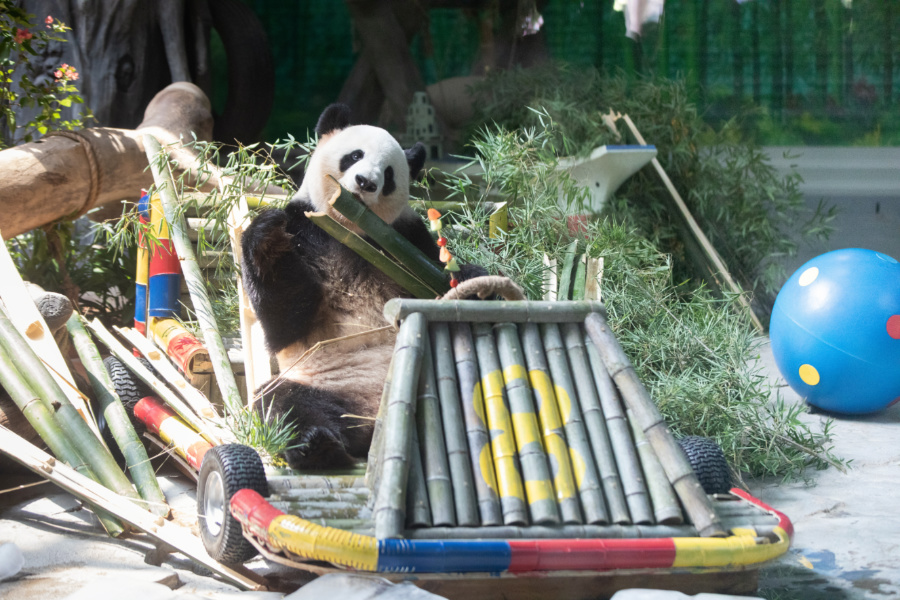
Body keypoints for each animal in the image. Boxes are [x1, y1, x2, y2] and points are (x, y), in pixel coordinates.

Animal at [237, 103, 478, 472]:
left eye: (389, 173)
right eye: (354, 156)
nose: (366, 182)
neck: (352, 231)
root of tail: (371, 422)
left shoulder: (407, 238)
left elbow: (442, 275)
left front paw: (472, 281)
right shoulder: (305, 228)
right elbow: (284, 324)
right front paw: (268, 239)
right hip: (326, 383)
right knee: (282, 401)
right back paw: (317, 445)